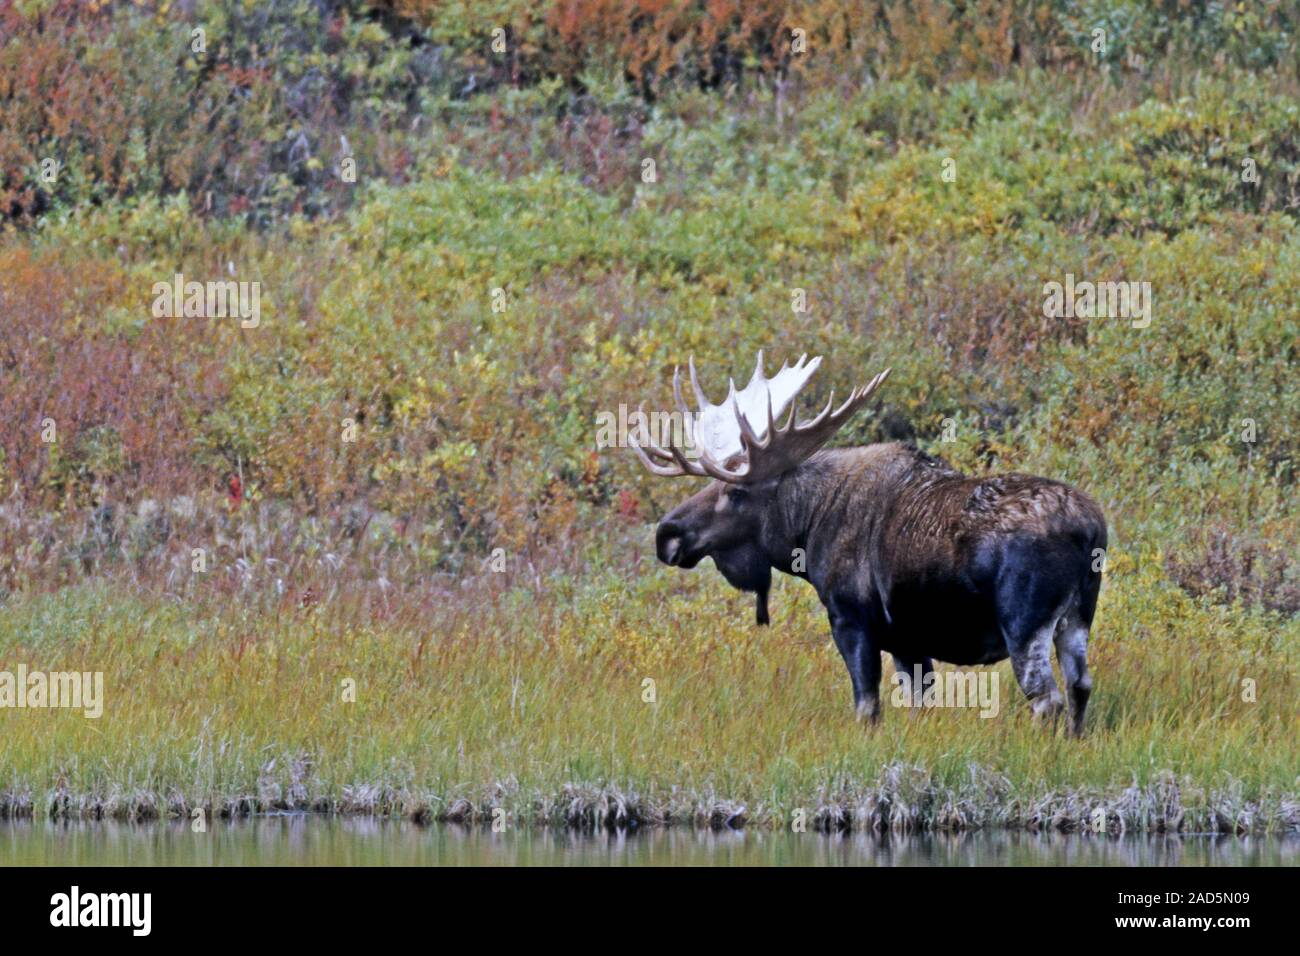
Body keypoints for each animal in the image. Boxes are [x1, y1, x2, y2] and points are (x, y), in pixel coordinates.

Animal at [629, 356, 1107, 738]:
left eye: (735, 491)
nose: (668, 534)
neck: (807, 527)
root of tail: (1090, 529)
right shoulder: (907, 641)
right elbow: (918, 707)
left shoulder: (851, 618)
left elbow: (867, 707)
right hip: (1077, 617)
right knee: (1080, 686)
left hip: (1024, 623)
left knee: (1047, 698)